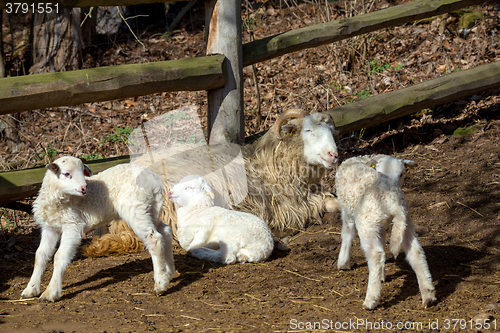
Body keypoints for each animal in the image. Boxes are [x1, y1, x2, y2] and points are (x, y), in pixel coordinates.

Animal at [22, 156, 176, 300]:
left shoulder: (72, 225)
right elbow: (40, 255)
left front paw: (51, 292)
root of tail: (154, 180)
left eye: (82, 173)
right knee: (165, 231)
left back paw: (160, 284)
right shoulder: (50, 227)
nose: (84, 188)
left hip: (137, 209)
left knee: (154, 239)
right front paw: (30, 289)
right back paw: (169, 271)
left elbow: (59, 256)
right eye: (66, 174)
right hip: (152, 209)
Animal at [334, 154, 436, 310]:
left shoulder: (347, 211)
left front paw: (343, 263)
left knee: (375, 255)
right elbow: (381, 241)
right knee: (416, 252)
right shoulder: (379, 225)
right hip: (404, 222)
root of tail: (394, 202)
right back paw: (428, 295)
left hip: (367, 223)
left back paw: (371, 299)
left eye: (402, 174)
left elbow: (347, 233)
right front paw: (382, 275)